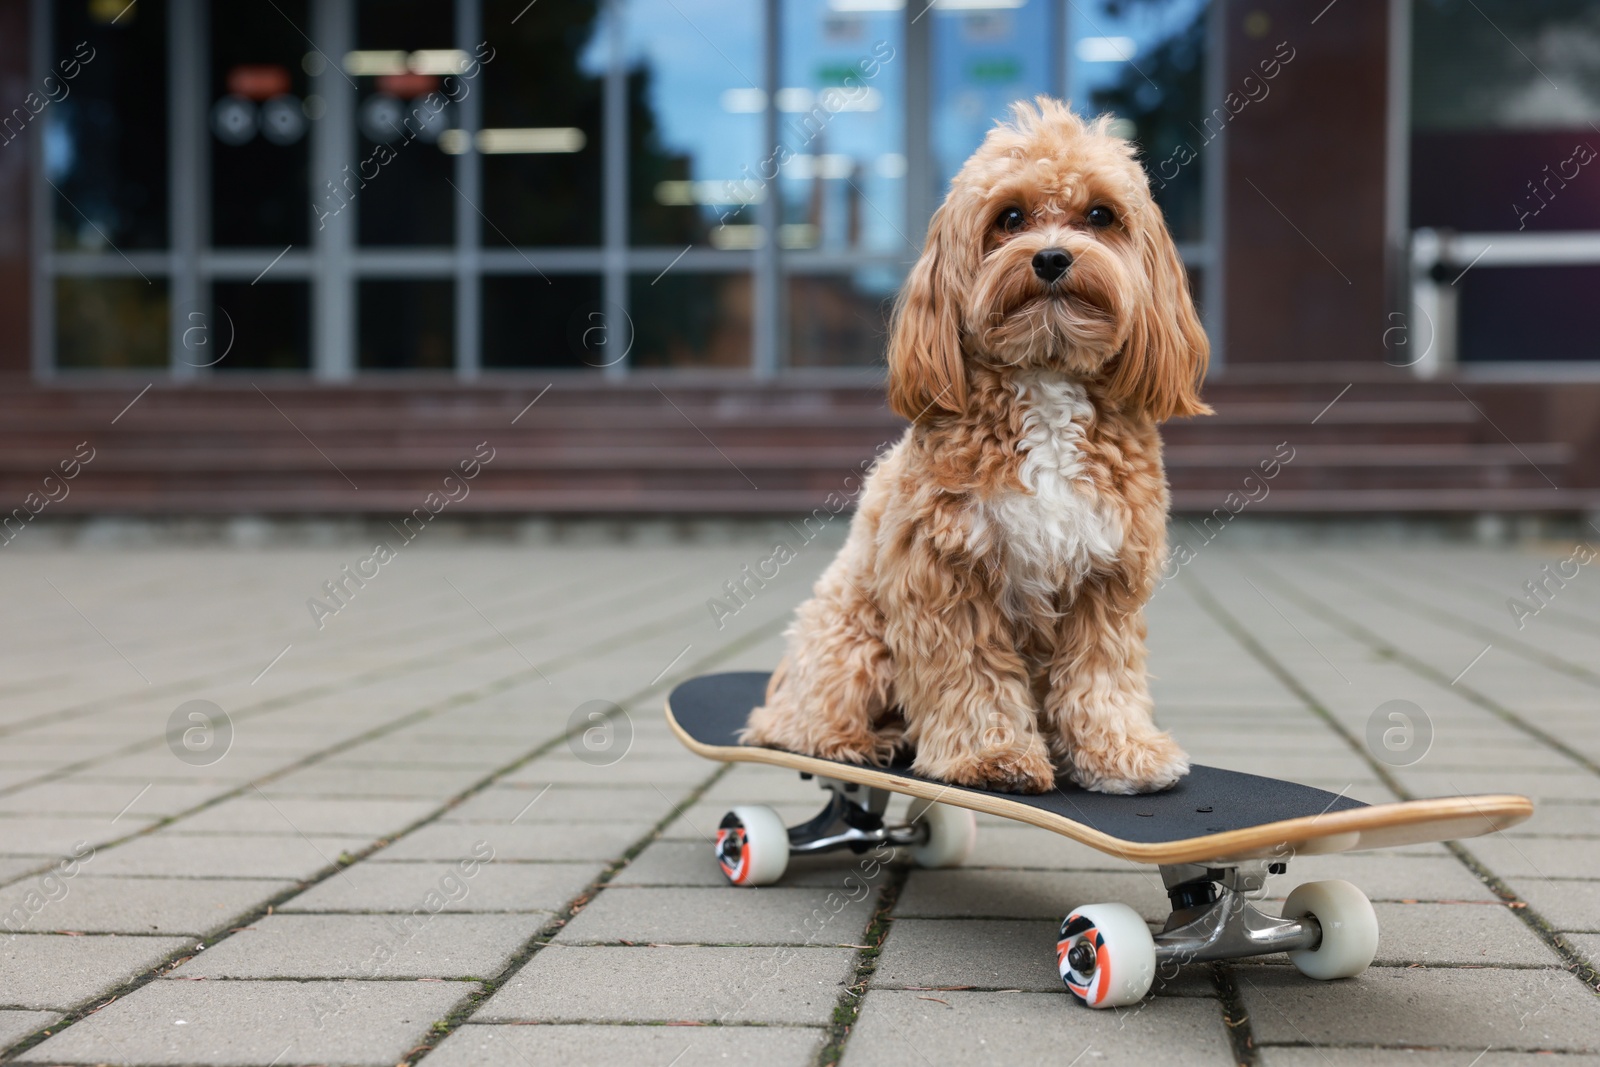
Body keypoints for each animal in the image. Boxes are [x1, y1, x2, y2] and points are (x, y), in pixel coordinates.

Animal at [742, 99, 1203, 796]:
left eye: (1101, 215)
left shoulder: (1107, 578)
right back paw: (864, 742)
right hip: (853, 641)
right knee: (798, 724)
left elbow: (1101, 676)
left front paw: (1120, 753)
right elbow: (973, 675)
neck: (1045, 378)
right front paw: (992, 756)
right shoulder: (946, 576)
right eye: (1008, 218)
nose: (1051, 259)